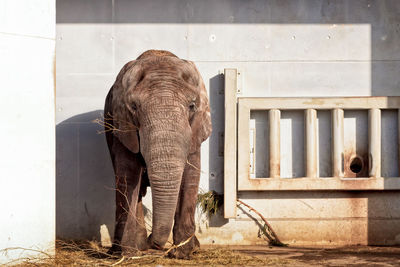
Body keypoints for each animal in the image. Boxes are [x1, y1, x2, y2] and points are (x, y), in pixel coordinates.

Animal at [104, 50, 212, 260]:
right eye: (134, 107)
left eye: (192, 106)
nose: (153, 243)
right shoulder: (122, 125)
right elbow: (128, 176)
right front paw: (127, 254)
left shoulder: (195, 130)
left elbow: (190, 177)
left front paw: (184, 254)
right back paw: (129, 249)